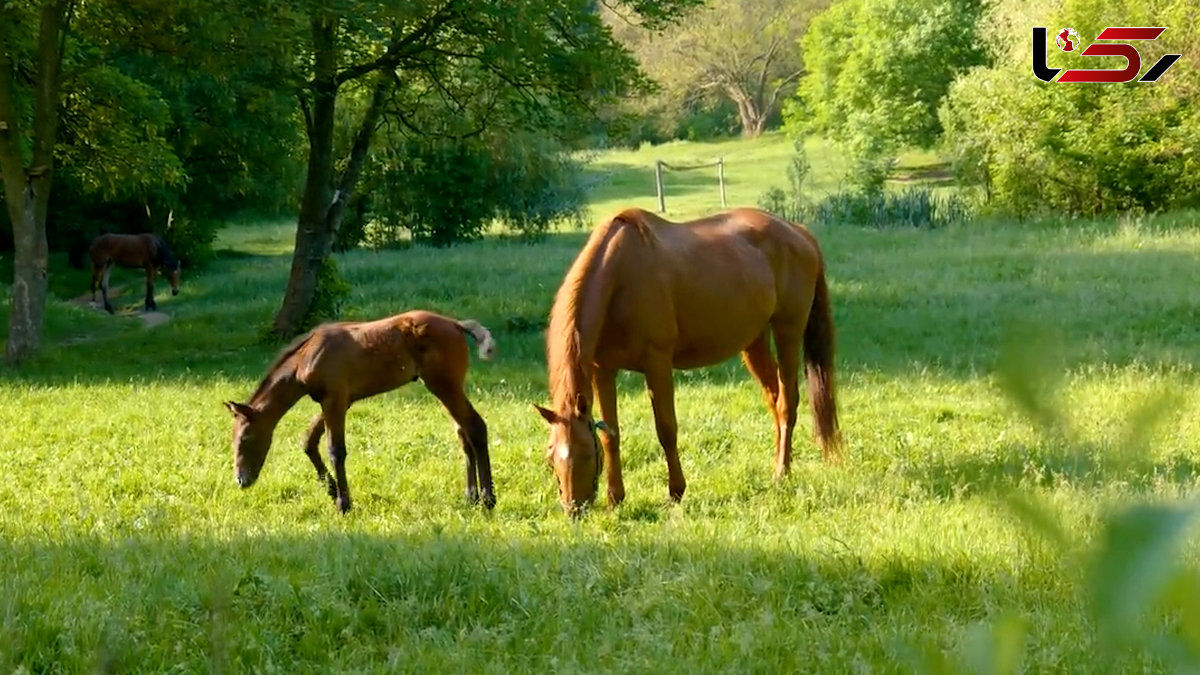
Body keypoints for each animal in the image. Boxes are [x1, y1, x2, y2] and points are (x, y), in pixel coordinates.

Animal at [225, 309, 496, 509]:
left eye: (246, 438)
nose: (241, 480)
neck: (308, 355)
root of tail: (455, 324)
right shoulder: (336, 401)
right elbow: (309, 441)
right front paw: (331, 489)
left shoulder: (334, 400)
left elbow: (336, 450)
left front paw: (343, 504)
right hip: (444, 388)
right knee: (463, 433)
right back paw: (471, 497)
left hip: (444, 385)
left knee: (475, 426)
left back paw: (488, 499)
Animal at [540, 205, 840, 509]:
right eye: (551, 454)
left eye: (586, 453)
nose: (573, 509)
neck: (619, 278)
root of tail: (799, 232)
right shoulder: (603, 370)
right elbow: (610, 433)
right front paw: (615, 498)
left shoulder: (657, 363)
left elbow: (666, 429)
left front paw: (676, 491)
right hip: (754, 341)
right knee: (774, 398)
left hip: (787, 331)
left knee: (787, 403)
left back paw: (782, 472)